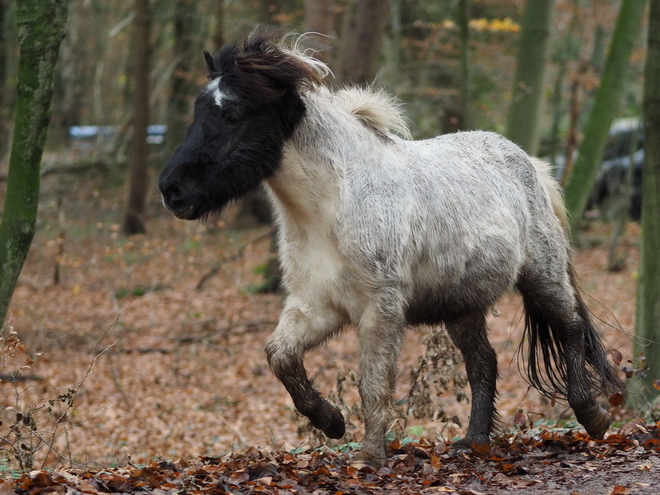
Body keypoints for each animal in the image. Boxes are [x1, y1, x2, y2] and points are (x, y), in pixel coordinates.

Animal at [159, 31, 624, 468]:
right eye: (198, 112)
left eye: (232, 114)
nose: (171, 189)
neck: (335, 204)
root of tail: (531, 164)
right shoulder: (316, 304)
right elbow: (281, 357)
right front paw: (331, 421)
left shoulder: (379, 310)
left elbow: (373, 383)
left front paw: (368, 456)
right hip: (462, 304)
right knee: (483, 360)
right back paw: (474, 440)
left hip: (542, 274)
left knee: (569, 327)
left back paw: (593, 416)